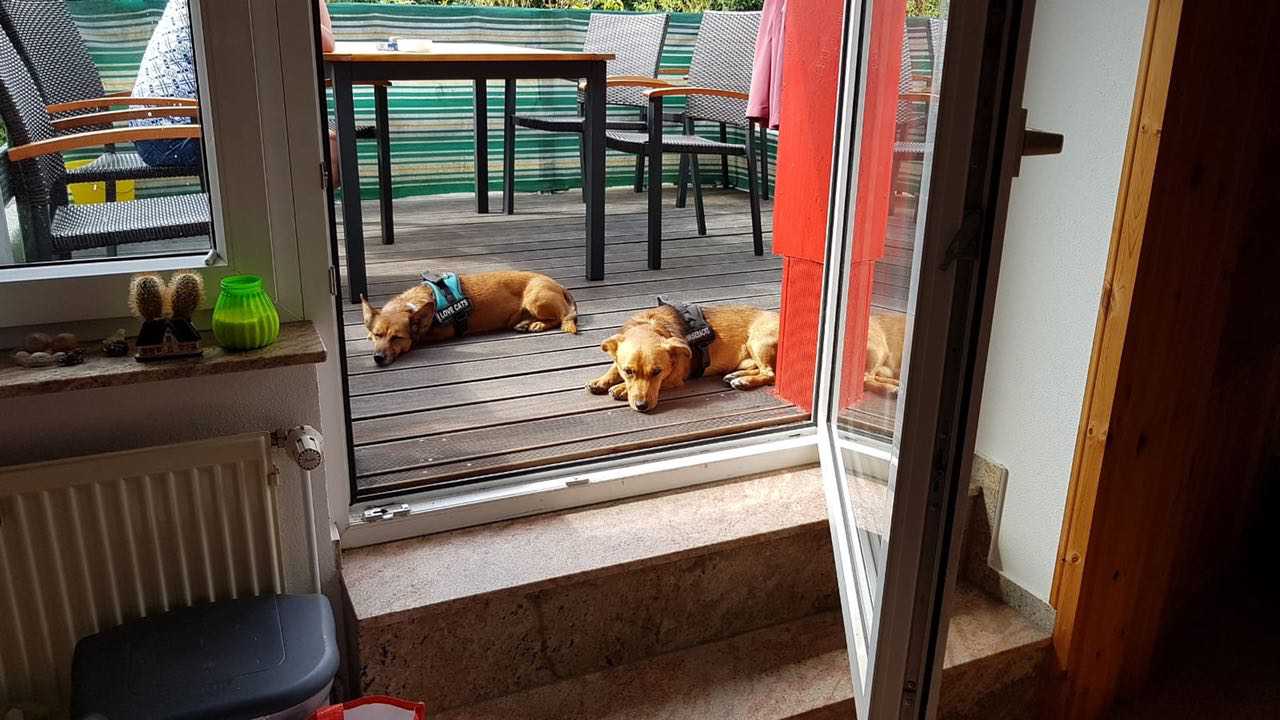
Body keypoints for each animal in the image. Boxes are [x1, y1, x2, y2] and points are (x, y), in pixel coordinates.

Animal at [361, 271, 577, 366]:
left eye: (397, 338)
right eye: (377, 335)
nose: (378, 358)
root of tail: (559, 285)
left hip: (535, 299)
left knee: (562, 316)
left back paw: (536, 324)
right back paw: (526, 322)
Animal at [587, 302, 779, 413]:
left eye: (657, 372)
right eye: (628, 371)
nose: (642, 406)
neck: (652, 324)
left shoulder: (673, 378)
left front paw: (621, 389)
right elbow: (613, 366)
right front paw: (601, 381)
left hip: (757, 342)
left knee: (770, 374)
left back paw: (744, 381)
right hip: (748, 355)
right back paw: (736, 376)